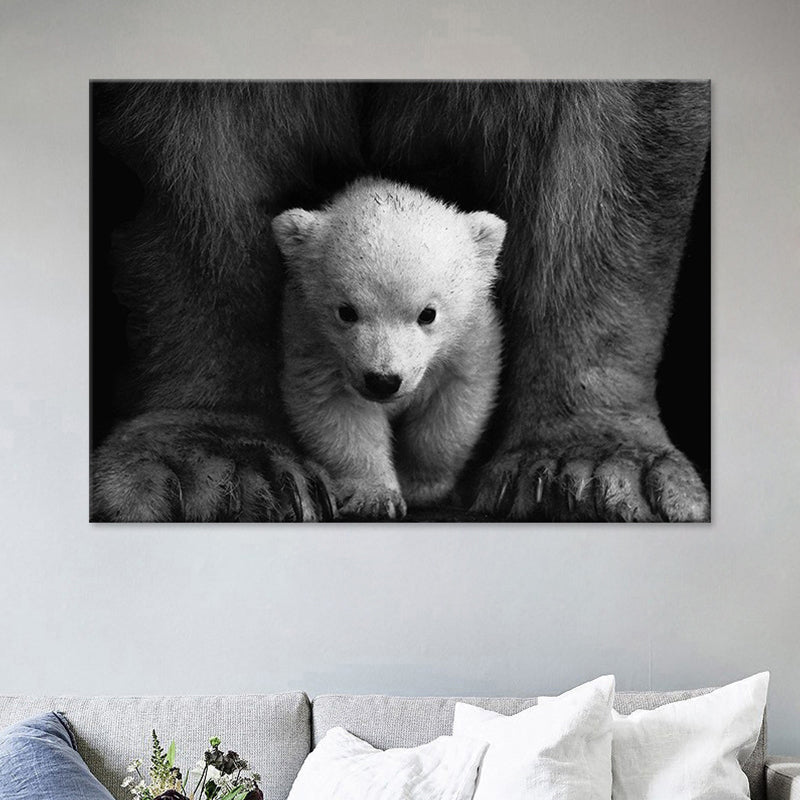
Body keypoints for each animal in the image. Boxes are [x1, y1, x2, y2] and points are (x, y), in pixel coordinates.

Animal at [272, 178, 505, 520]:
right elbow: (338, 412)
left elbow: (452, 409)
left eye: (428, 313)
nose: (383, 381)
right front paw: (375, 497)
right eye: (346, 311)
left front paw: (421, 486)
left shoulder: (469, 341)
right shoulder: (313, 343)